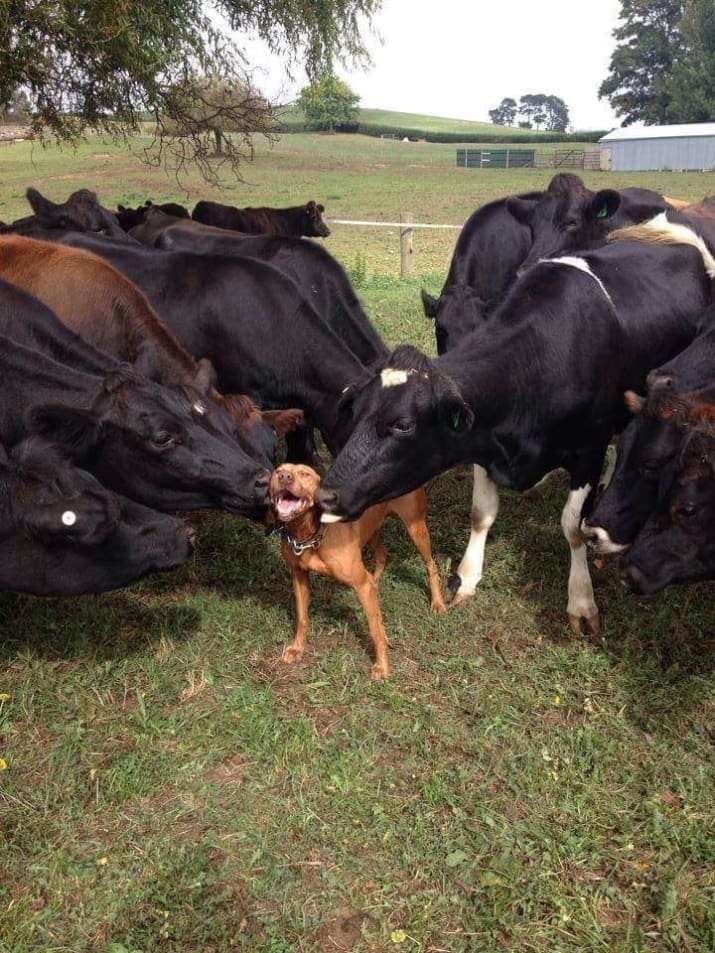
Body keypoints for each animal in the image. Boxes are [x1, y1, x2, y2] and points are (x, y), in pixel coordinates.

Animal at [270, 462, 444, 676]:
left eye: (305, 474)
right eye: (278, 471)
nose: (284, 477)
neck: (310, 534)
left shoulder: (361, 583)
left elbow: (374, 629)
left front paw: (383, 666)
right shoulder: (299, 575)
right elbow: (302, 618)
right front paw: (297, 648)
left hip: (416, 527)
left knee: (431, 565)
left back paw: (438, 603)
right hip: (372, 529)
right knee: (382, 555)